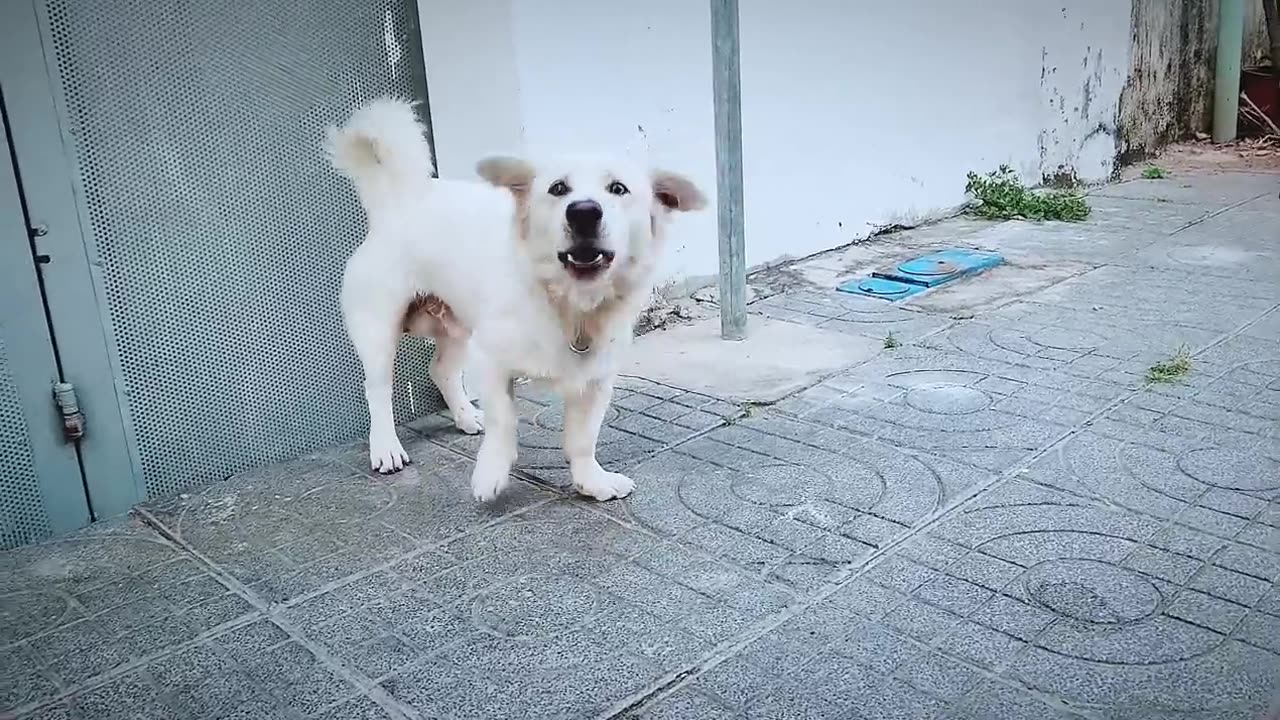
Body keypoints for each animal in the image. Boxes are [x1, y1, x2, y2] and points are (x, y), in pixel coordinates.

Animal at [325, 99, 706, 499]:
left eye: (618, 188)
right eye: (558, 188)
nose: (583, 211)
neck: (568, 305)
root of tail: (395, 204)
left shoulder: (596, 380)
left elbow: (583, 440)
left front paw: (591, 481)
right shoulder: (492, 361)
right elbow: (503, 421)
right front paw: (491, 473)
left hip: (457, 329)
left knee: (441, 370)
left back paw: (464, 416)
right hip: (380, 333)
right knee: (377, 390)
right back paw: (386, 447)